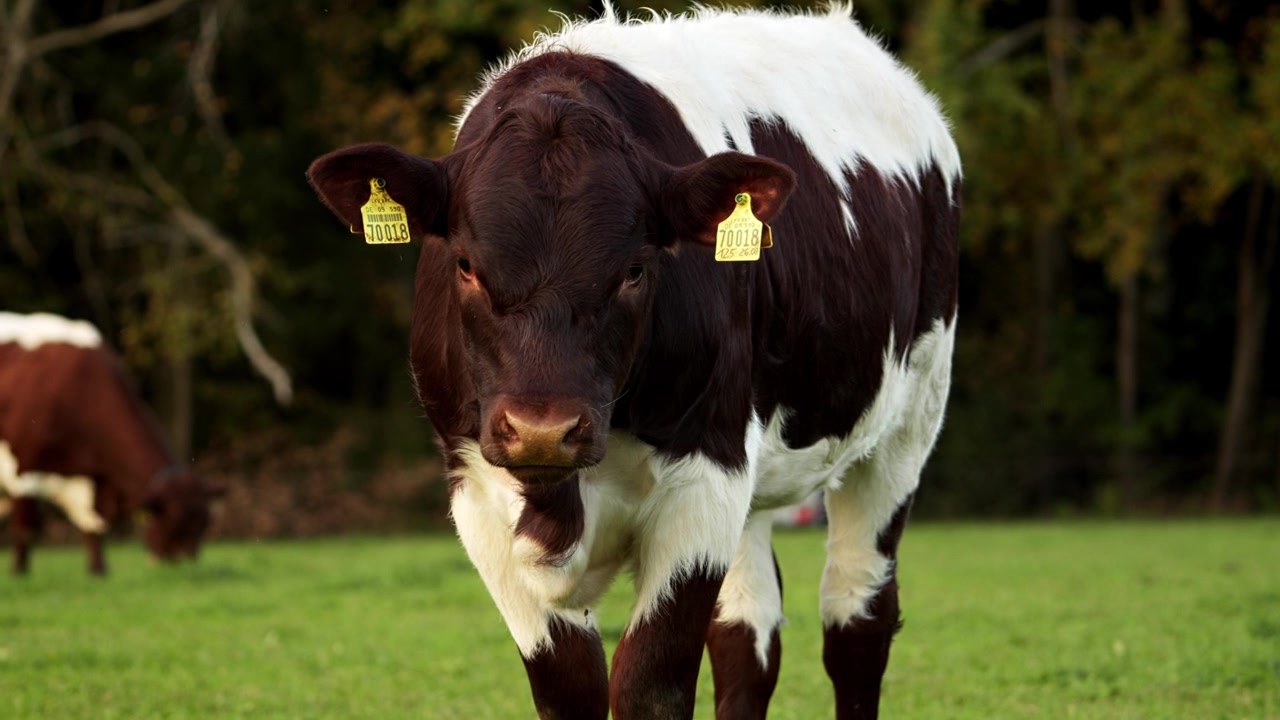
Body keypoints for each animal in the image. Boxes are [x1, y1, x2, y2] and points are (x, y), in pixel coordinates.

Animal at [0, 312, 219, 575]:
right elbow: (25, 530)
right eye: (174, 523)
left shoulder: (90, 483)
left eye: (204, 523)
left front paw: (98, 572)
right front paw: (18, 573)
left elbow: (94, 530)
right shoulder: (23, 474)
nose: (185, 567)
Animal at [308, 5, 960, 719]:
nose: (542, 430)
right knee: (747, 632)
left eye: (635, 270)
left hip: (904, 431)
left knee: (856, 616)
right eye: (466, 265)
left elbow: (650, 683)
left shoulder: (705, 475)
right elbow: (572, 688)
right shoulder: (475, 493)